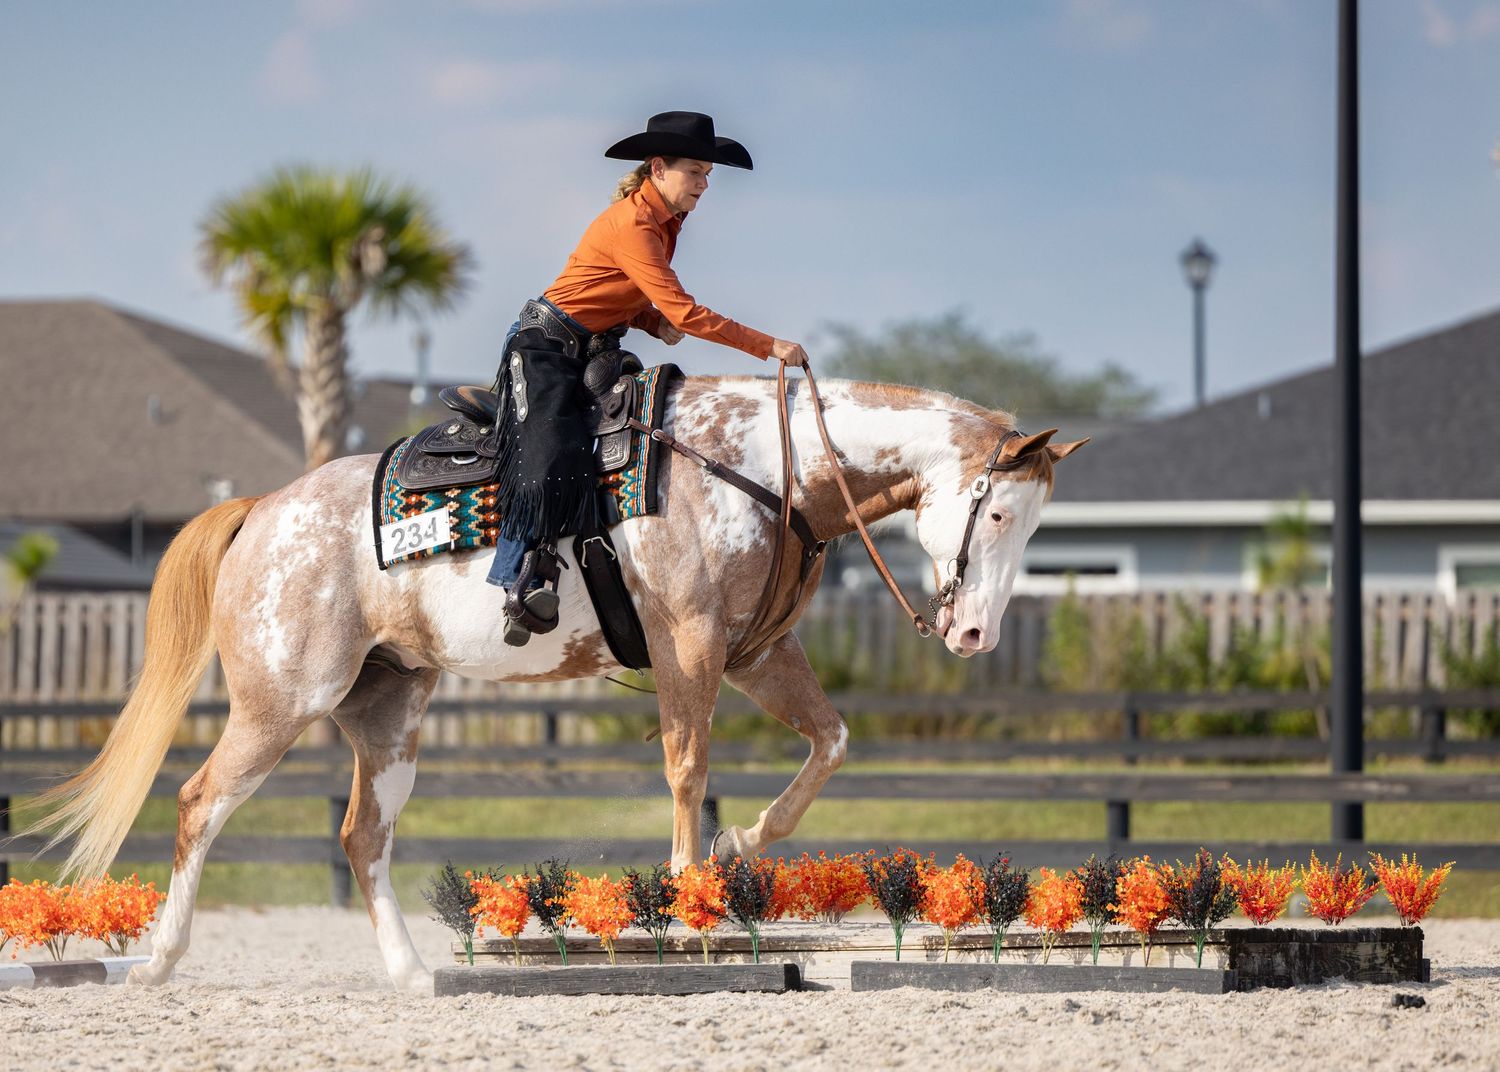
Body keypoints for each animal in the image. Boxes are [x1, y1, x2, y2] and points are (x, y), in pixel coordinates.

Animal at [29, 373, 1085, 991]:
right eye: (997, 514)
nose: (977, 633)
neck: (753, 467)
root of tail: (260, 509)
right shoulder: (691, 647)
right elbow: (687, 770)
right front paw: (689, 908)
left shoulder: (757, 656)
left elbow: (829, 743)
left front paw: (741, 846)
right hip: (281, 703)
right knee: (200, 803)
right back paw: (160, 961)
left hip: (389, 713)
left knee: (363, 836)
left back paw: (410, 974)